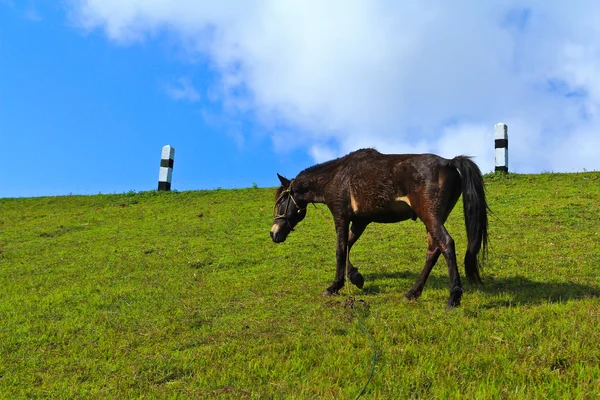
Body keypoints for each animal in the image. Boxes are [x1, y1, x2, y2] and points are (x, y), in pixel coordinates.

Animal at [270, 148, 488, 308]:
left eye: (281, 201)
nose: (274, 233)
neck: (336, 176)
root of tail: (448, 162)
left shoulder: (341, 217)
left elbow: (340, 249)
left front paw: (334, 286)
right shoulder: (360, 221)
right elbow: (347, 246)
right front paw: (355, 277)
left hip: (430, 216)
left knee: (446, 244)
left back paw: (454, 297)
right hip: (434, 218)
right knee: (434, 250)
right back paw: (412, 292)